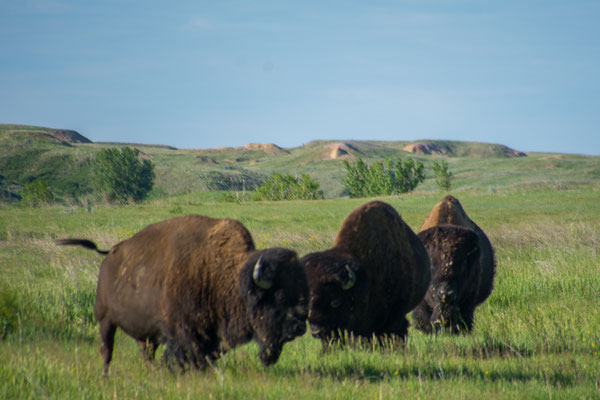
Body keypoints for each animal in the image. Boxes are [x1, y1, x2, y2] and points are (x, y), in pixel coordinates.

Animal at [57, 214, 310, 374]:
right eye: (279, 297)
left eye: (300, 294)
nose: (300, 326)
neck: (227, 278)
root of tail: (110, 253)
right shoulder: (183, 333)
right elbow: (184, 355)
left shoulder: (211, 337)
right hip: (105, 320)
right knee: (106, 349)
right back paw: (106, 374)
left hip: (143, 334)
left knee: (145, 352)